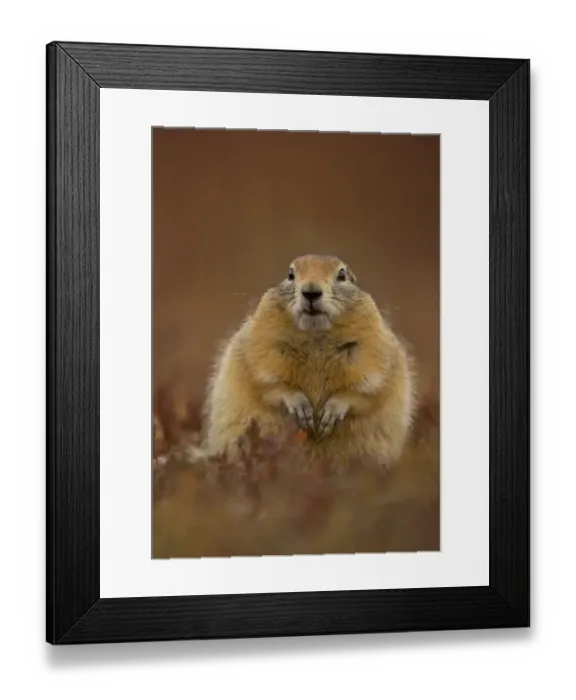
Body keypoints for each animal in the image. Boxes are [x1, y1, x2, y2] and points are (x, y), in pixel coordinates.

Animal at [203, 255, 415, 467]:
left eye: (342, 275)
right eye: (290, 274)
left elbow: (366, 388)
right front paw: (299, 405)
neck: (316, 335)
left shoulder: (372, 348)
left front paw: (332, 410)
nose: (311, 291)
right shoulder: (263, 342)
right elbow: (268, 381)